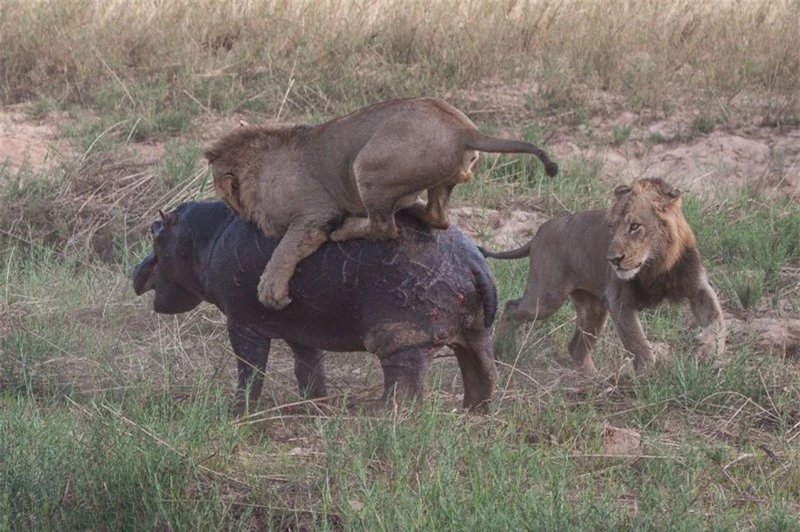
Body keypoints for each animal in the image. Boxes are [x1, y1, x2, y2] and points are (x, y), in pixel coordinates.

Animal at [206, 97, 556, 310]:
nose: (229, 209)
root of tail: (465, 129)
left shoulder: (315, 214)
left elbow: (286, 248)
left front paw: (270, 290)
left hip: (367, 165)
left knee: (384, 227)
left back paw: (348, 229)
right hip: (437, 182)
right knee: (437, 217)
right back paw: (410, 206)